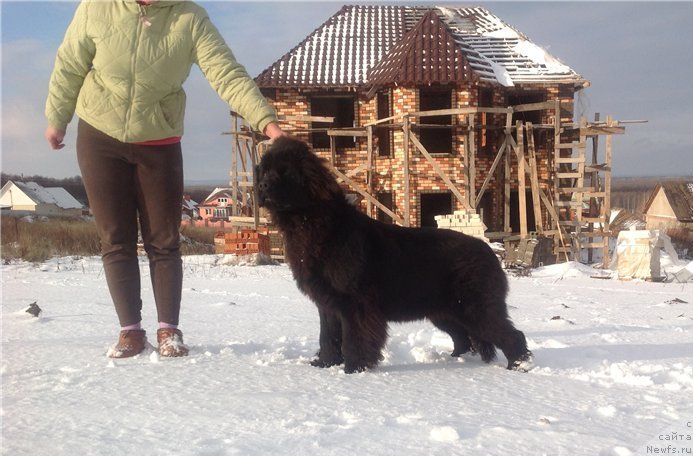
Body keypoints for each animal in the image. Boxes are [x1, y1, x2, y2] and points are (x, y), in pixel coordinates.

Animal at [256, 138, 532, 374]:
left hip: (475, 307)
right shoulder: (327, 302)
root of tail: (490, 252)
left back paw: (518, 365)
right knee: (463, 338)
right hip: (445, 311)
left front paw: (353, 369)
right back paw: (456, 361)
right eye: (265, 171)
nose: (261, 186)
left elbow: (353, 338)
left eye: (285, 172)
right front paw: (325, 364)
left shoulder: (355, 303)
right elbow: (328, 337)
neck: (314, 223)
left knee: (509, 334)